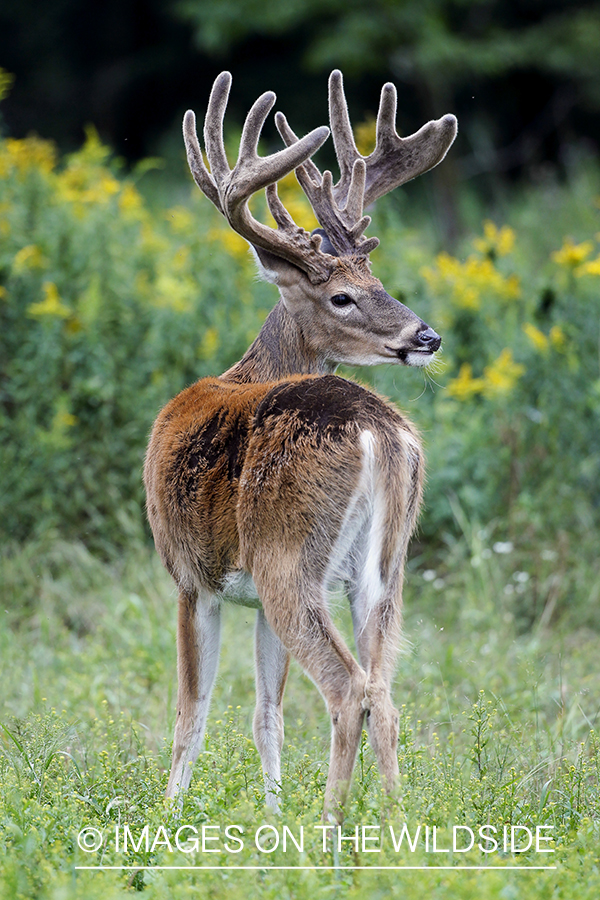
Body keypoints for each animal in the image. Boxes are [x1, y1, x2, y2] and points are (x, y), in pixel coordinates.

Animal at [144, 70, 454, 824]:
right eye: (346, 295)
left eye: (376, 284)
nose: (426, 336)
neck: (245, 370)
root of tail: (381, 433)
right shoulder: (251, 596)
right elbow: (266, 715)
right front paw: (270, 814)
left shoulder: (190, 575)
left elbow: (191, 713)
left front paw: (167, 816)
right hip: (384, 569)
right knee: (385, 695)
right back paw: (394, 825)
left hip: (291, 556)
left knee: (350, 690)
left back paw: (333, 827)